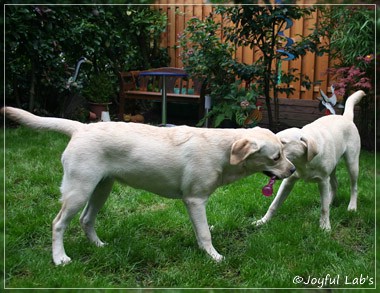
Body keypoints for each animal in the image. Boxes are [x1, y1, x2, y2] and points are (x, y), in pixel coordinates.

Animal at [1, 106, 296, 264]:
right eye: (276, 157)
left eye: (284, 152)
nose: (293, 170)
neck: (223, 150)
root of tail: (82, 127)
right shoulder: (195, 199)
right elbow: (205, 234)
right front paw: (214, 257)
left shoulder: (195, 203)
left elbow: (201, 230)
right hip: (79, 190)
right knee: (58, 223)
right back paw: (59, 258)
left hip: (101, 188)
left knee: (86, 219)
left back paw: (98, 246)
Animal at [255, 90, 366, 229]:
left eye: (283, 143)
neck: (304, 162)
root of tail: (346, 117)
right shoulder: (288, 181)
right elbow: (274, 204)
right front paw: (262, 221)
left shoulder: (322, 181)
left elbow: (324, 209)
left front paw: (325, 227)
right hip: (333, 168)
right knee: (334, 184)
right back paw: (330, 201)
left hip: (352, 163)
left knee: (354, 186)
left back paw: (352, 207)